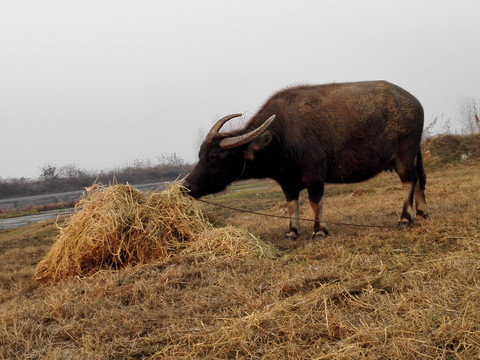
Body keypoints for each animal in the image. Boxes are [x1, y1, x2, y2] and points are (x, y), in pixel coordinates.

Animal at [184, 81, 428, 239]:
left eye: (215, 156)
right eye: (199, 155)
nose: (186, 186)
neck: (280, 137)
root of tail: (415, 102)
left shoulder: (314, 175)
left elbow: (314, 201)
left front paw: (319, 230)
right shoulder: (286, 181)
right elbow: (292, 204)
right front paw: (292, 232)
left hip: (405, 153)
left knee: (409, 180)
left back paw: (405, 218)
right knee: (418, 179)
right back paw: (422, 212)